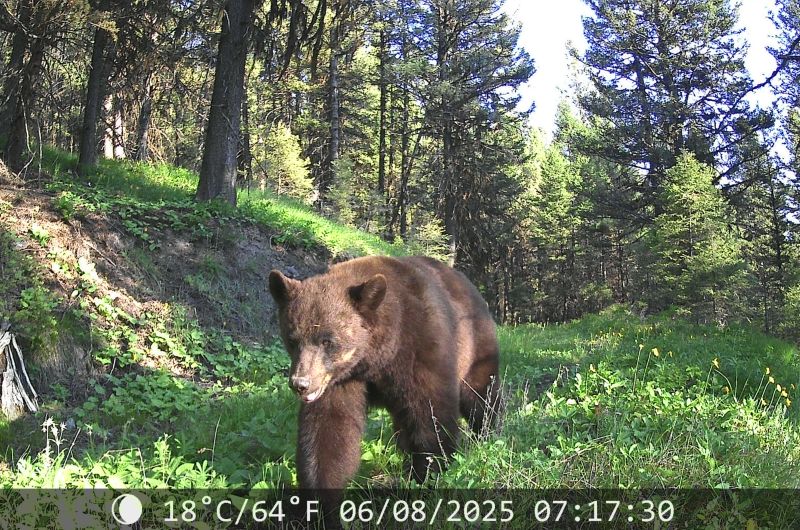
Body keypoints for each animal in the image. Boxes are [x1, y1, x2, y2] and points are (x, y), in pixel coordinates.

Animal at [268, 255, 500, 492]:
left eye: (327, 341)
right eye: (292, 340)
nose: (301, 383)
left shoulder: (422, 349)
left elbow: (430, 415)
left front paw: (429, 473)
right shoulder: (340, 380)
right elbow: (329, 429)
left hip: (475, 349)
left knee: (481, 396)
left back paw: (486, 434)